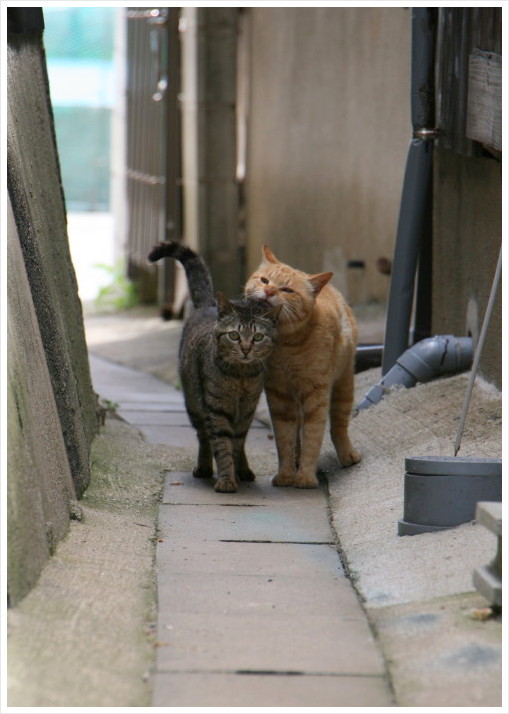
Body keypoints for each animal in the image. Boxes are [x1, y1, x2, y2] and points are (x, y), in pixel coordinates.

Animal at [148, 242, 278, 492]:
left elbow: (237, 444)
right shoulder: (216, 409)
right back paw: (204, 467)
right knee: (203, 436)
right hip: (194, 403)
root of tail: (209, 305)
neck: (241, 377)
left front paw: (235, 472)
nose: (246, 349)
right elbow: (222, 445)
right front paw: (227, 479)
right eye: (234, 335)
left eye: (257, 337)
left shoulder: (247, 409)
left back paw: (244, 470)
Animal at [244, 243, 360, 484]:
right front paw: (286, 474)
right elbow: (285, 438)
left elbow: (313, 436)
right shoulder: (279, 395)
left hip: (343, 386)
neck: (285, 346)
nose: (269, 292)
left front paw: (305, 477)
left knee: (338, 427)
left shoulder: (316, 394)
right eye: (265, 281)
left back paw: (347, 454)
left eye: (287, 290)